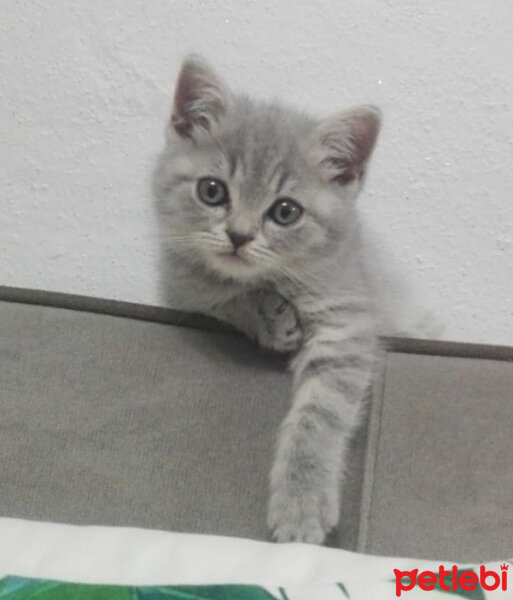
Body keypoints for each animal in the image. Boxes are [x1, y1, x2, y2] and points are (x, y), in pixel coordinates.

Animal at [153, 55, 384, 544]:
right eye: (212, 191)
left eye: (285, 211)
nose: (239, 236)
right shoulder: (184, 280)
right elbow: (218, 292)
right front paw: (270, 316)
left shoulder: (347, 316)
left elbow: (319, 413)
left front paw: (302, 501)